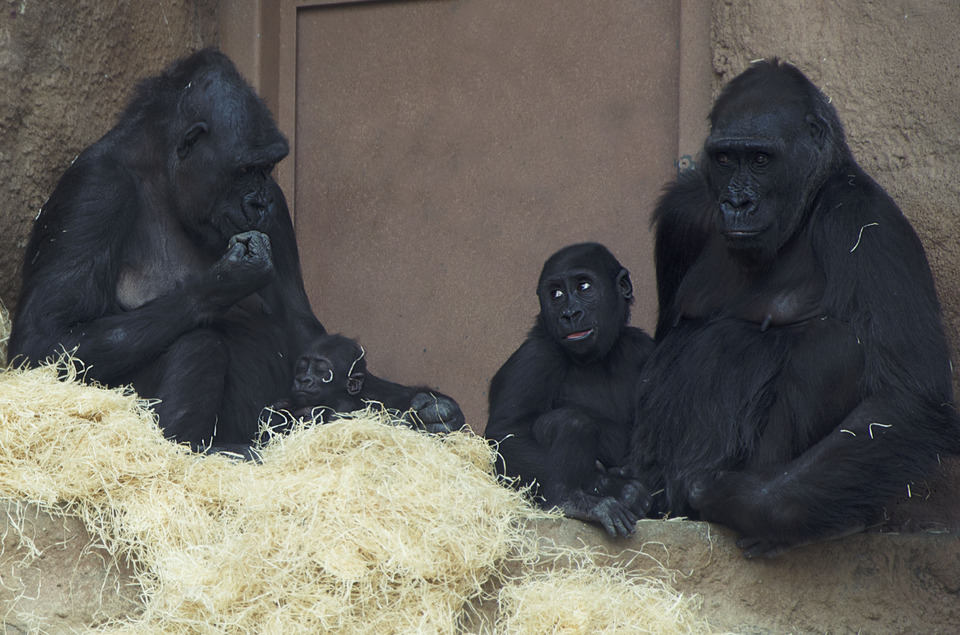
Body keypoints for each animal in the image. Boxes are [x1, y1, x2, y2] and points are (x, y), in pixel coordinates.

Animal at [8, 47, 322, 452]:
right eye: (244, 169)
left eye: (267, 168)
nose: (261, 202)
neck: (162, 174)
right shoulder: (94, 190)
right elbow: (44, 339)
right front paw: (224, 281)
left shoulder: (281, 209)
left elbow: (304, 329)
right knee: (200, 343)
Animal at [488, 243, 652, 536]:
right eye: (556, 294)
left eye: (583, 286)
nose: (570, 314)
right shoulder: (537, 356)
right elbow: (507, 432)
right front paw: (620, 488)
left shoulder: (646, 348)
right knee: (572, 421)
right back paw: (571, 501)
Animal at [632, 59, 960, 556]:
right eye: (725, 159)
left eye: (760, 160)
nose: (737, 202)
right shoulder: (682, 212)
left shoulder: (865, 218)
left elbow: (907, 395)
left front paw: (738, 499)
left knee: (837, 346)